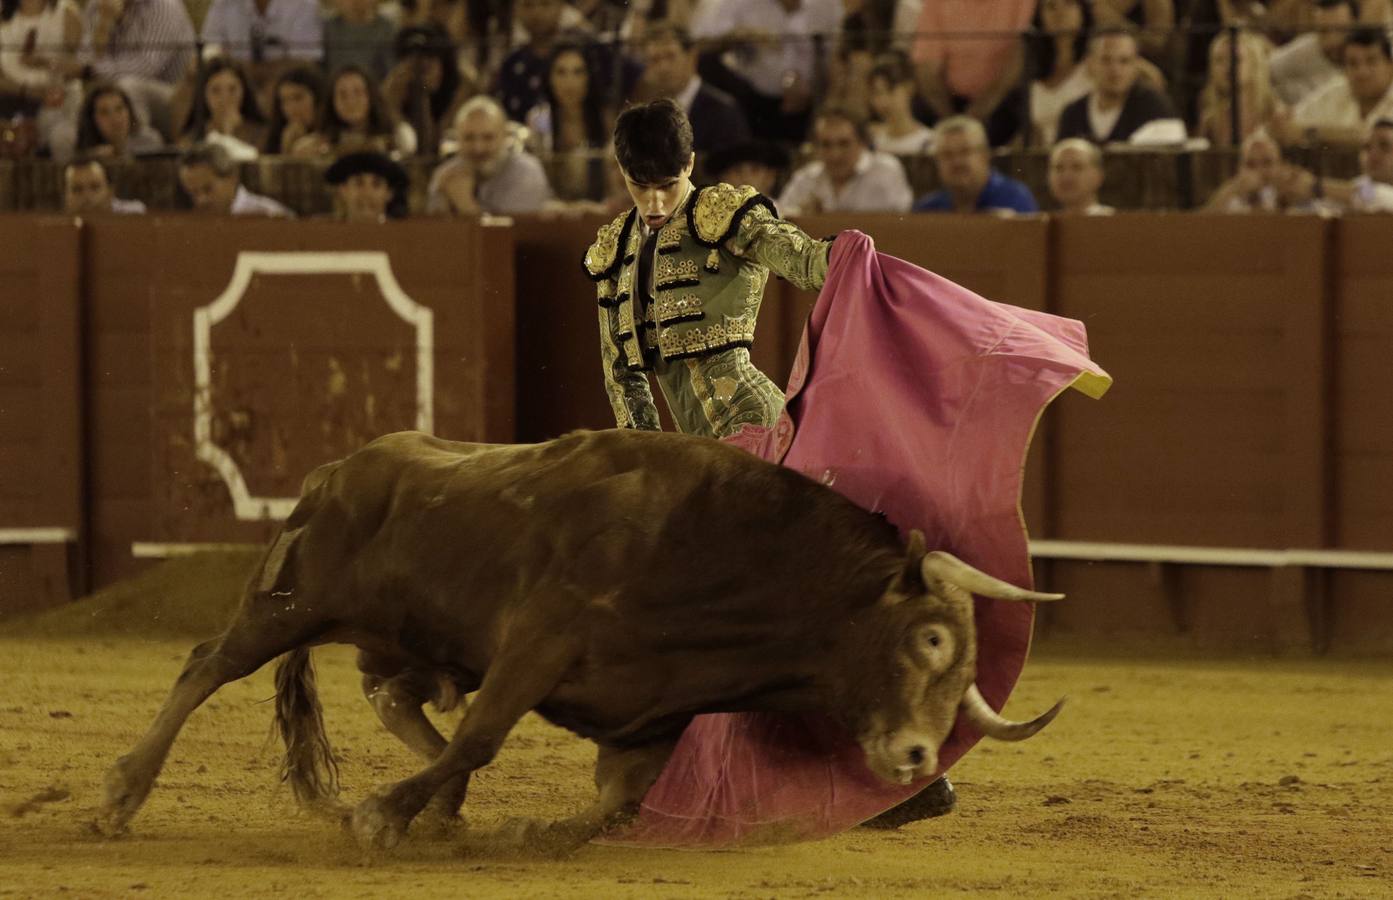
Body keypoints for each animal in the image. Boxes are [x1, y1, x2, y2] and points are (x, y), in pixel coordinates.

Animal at [92, 429, 1058, 852]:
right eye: (930, 639)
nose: (915, 756)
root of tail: (338, 467)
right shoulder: (539, 639)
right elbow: (483, 734)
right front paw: (378, 815)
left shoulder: (648, 717)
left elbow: (614, 802)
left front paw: (526, 829)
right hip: (290, 602)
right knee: (207, 666)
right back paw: (119, 798)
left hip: (399, 634)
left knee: (395, 699)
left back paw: (444, 811)